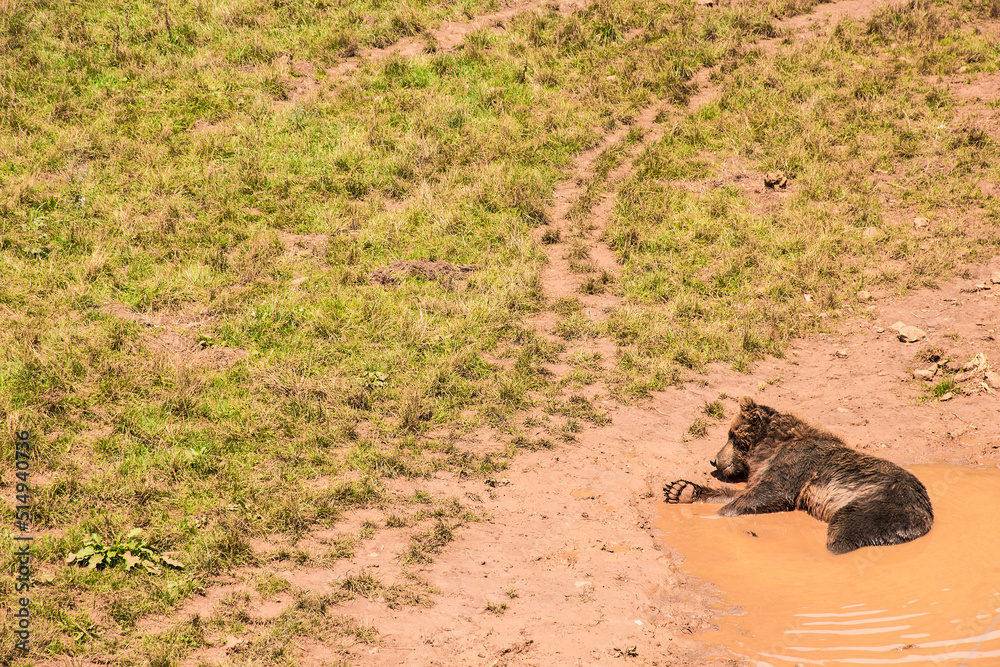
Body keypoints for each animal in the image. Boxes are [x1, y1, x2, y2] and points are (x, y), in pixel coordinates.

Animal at [663, 396, 933, 555]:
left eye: (731, 434)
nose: (714, 459)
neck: (768, 448)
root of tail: (925, 518)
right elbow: (741, 492)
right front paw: (682, 490)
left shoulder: (797, 461)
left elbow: (769, 492)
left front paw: (712, 517)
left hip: (878, 504)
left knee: (843, 533)